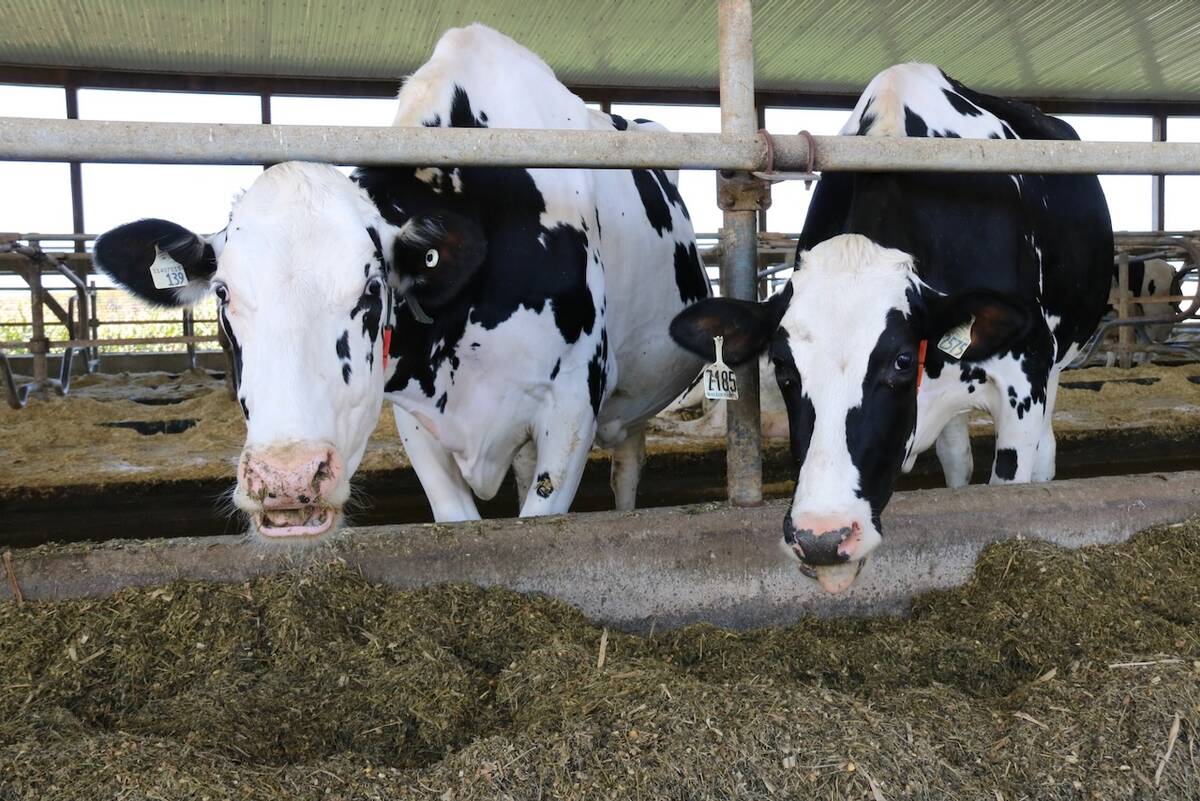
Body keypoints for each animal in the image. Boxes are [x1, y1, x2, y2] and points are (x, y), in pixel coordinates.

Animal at [92, 24, 709, 537]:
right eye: (222, 293)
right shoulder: (416, 417)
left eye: (372, 290)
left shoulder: (572, 406)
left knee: (627, 466)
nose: (289, 477)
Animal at [670, 63, 1112, 593]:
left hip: (1058, 364)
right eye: (781, 366)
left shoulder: (1024, 382)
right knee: (957, 457)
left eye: (902, 360)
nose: (823, 537)